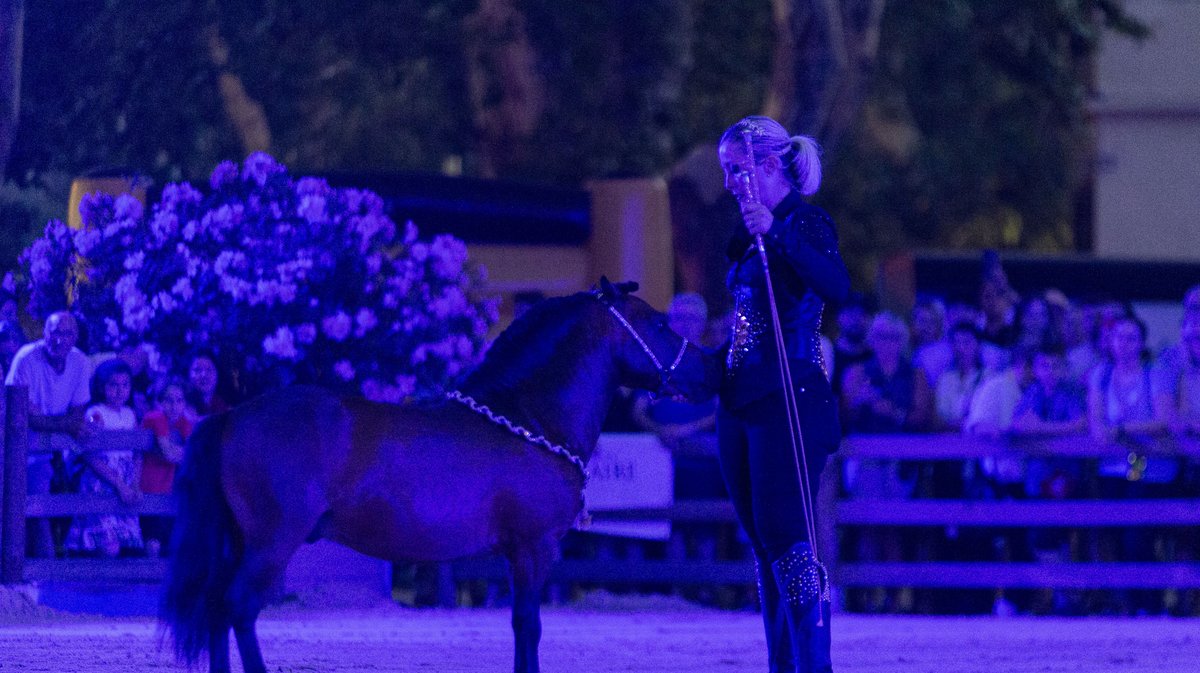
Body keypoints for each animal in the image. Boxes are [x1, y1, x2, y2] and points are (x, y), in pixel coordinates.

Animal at [163, 278, 715, 671]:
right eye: (660, 324)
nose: (710, 370)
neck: (527, 420)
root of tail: (232, 416)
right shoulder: (534, 548)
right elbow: (530, 626)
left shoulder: (515, 552)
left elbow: (520, 626)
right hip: (272, 543)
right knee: (238, 608)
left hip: (239, 542)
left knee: (217, 611)